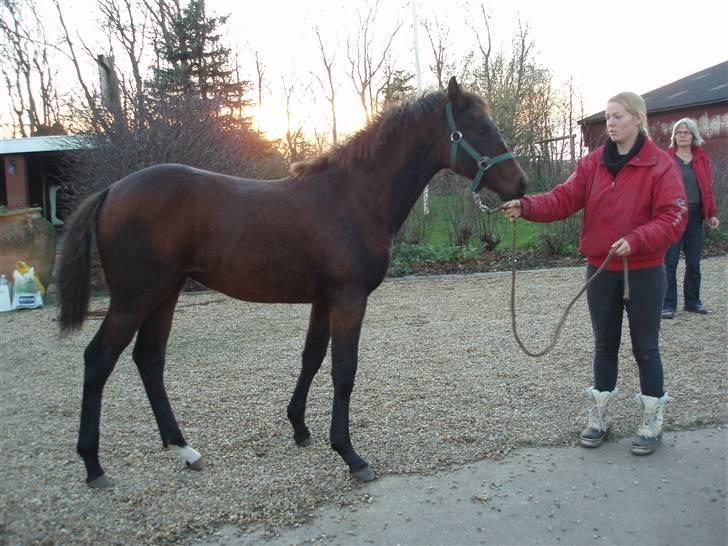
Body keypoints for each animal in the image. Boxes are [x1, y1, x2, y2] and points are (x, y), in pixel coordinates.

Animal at [55, 75, 524, 484]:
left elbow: (311, 358)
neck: (355, 196)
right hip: (134, 298)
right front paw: (350, 455)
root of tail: (113, 190)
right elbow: (343, 371)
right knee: (99, 360)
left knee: (149, 361)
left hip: (164, 294)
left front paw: (299, 427)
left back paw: (183, 449)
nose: (519, 184)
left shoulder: (324, 300)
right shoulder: (348, 300)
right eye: (480, 127)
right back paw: (93, 465)